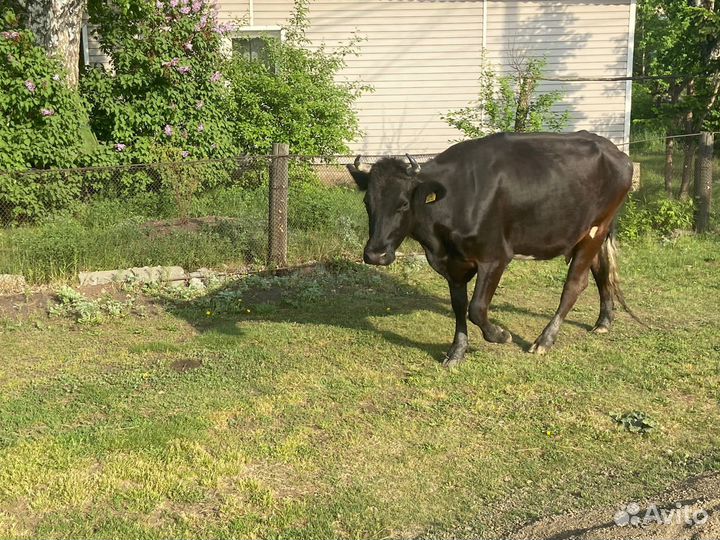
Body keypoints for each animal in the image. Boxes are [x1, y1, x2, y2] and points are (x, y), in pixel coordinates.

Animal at [346, 131, 635, 367]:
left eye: (404, 204)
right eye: (367, 201)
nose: (375, 254)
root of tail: (615, 150)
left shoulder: (495, 256)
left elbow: (476, 308)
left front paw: (500, 334)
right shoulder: (453, 263)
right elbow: (459, 306)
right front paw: (457, 352)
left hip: (597, 227)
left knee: (575, 284)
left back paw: (544, 340)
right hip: (588, 232)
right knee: (601, 270)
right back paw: (604, 321)